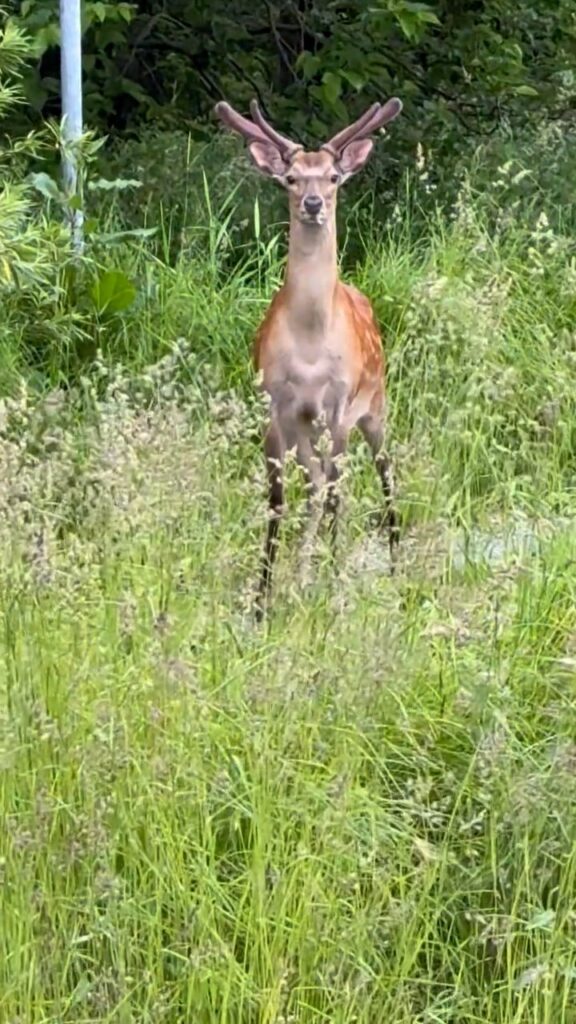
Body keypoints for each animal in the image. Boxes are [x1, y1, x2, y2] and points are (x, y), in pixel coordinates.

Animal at [213, 96, 403, 621]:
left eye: (333, 177)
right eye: (291, 177)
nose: (314, 203)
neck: (312, 345)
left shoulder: (338, 406)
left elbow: (339, 492)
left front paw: (338, 595)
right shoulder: (276, 404)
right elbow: (278, 498)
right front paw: (261, 602)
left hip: (375, 406)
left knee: (383, 473)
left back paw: (396, 566)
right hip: (305, 428)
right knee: (315, 484)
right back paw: (303, 576)